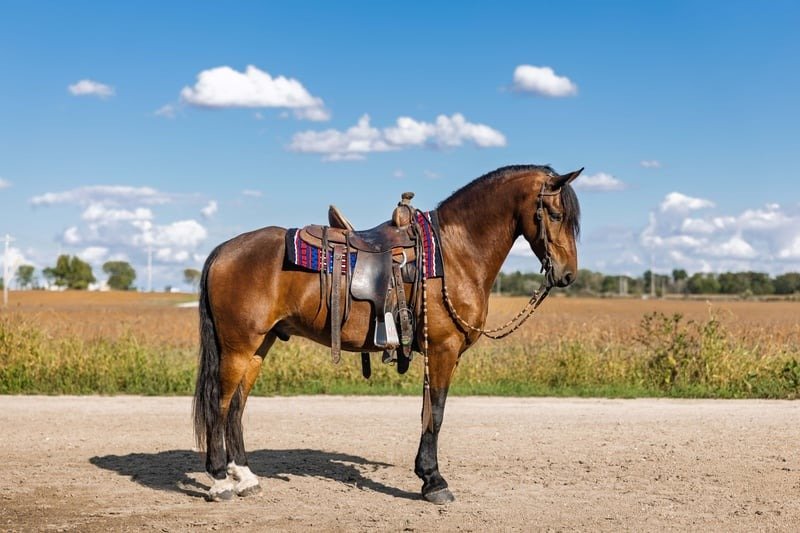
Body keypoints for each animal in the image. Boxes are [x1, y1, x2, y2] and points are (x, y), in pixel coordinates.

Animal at [193, 164, 582, 503]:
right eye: (556, 215)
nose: (567, 274)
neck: (454, 253)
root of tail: (223, 250)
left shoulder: (437, 354)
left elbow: (426, 412)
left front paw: (426, 474)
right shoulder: (443, 349)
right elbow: (437, 412)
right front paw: (435, 482)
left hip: (259, 346)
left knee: (237, 406)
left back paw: (244, 477)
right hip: (237, 347)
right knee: (220, 404)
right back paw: (219, 481)